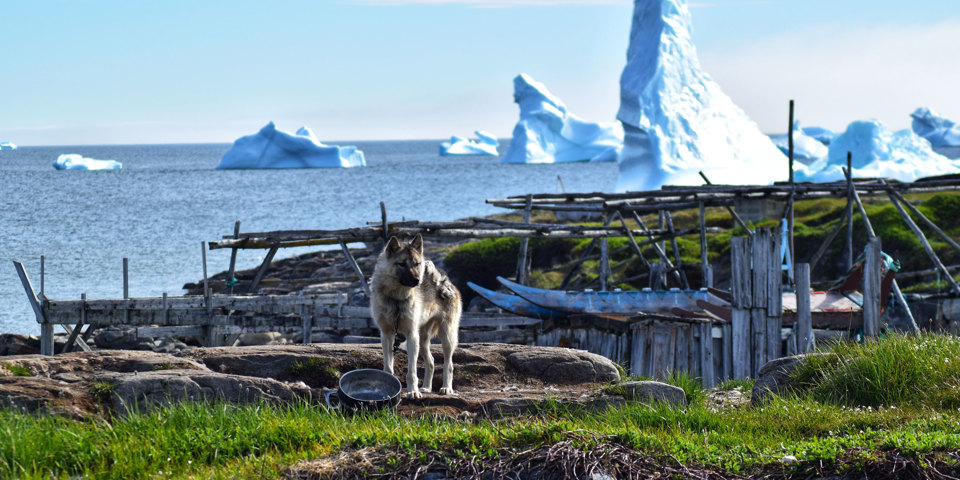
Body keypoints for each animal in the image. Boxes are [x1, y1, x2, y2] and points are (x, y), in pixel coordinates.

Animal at [368, 233, 462, 398]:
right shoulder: (387, 335)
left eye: (417, 264)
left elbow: (412, 372)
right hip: (422, 340)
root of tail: (444, 281)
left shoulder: (411, 336)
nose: (417, 280)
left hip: (446, 337)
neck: (397, 299)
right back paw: (426, 387)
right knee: (431, 362)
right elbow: (388, 367)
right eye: (401, 264)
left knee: (448, 364)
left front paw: (413, 391)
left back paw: (446, 388)